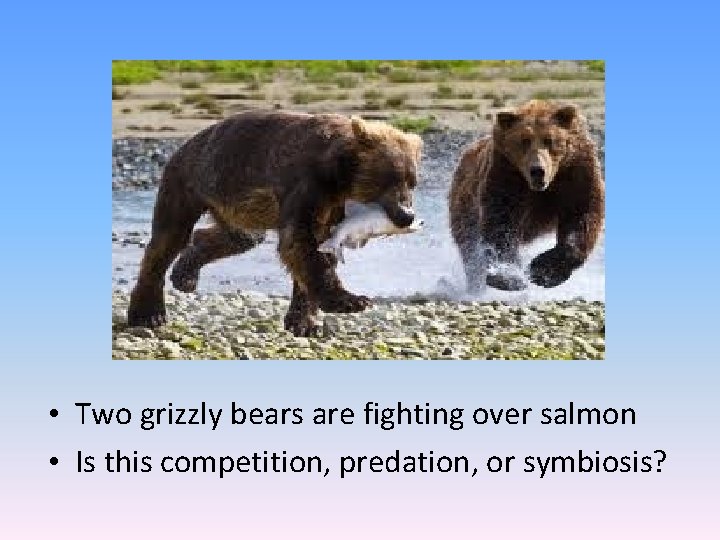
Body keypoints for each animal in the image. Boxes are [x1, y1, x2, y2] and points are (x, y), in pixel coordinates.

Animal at [127, 111, 422, 337]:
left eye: (412, 181)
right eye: (389, 178)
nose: (406, 215)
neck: (340, 178)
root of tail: (187, 142)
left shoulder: (333, 208)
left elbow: (316, 249)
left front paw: (304, 322)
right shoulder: (308, 185)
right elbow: (301, 243)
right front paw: (350, 300)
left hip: (233, 201)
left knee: (240, 237)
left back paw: (185, 275)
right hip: (188, 181)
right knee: (168, 238)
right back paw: (148, 313)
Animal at [449, 100, 604, 291]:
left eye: (549, 140)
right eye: (524, 140)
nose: (537, 170)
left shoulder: (577, 173)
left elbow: (582, 216)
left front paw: (544, 271)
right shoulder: (506, 174)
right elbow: (501, 222)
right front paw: (508, 276)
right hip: (465, 208)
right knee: (469, 246)